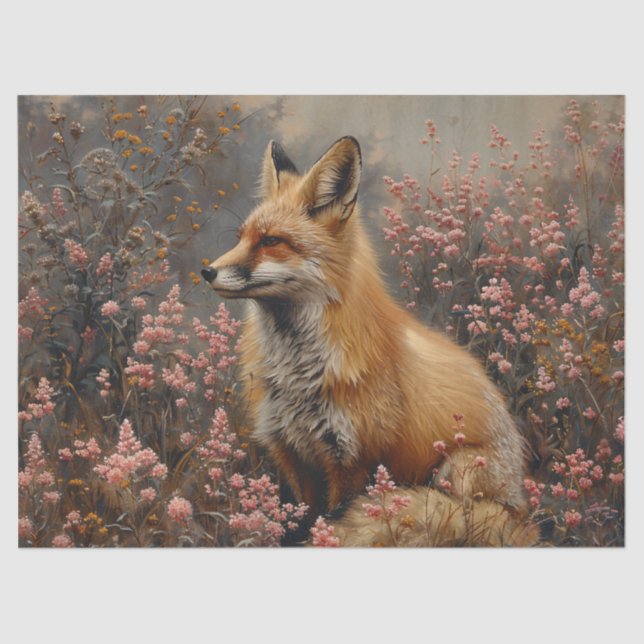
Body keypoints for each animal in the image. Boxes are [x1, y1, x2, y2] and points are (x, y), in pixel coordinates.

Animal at [202, 136, 533, 545]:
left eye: (272, 241)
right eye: (242, 238)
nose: (207, 271)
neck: (298, 371)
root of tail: (520, 510)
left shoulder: (352, 460)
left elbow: (332, 517)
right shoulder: (289, 450)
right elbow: (299, 520)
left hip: (459, 470)